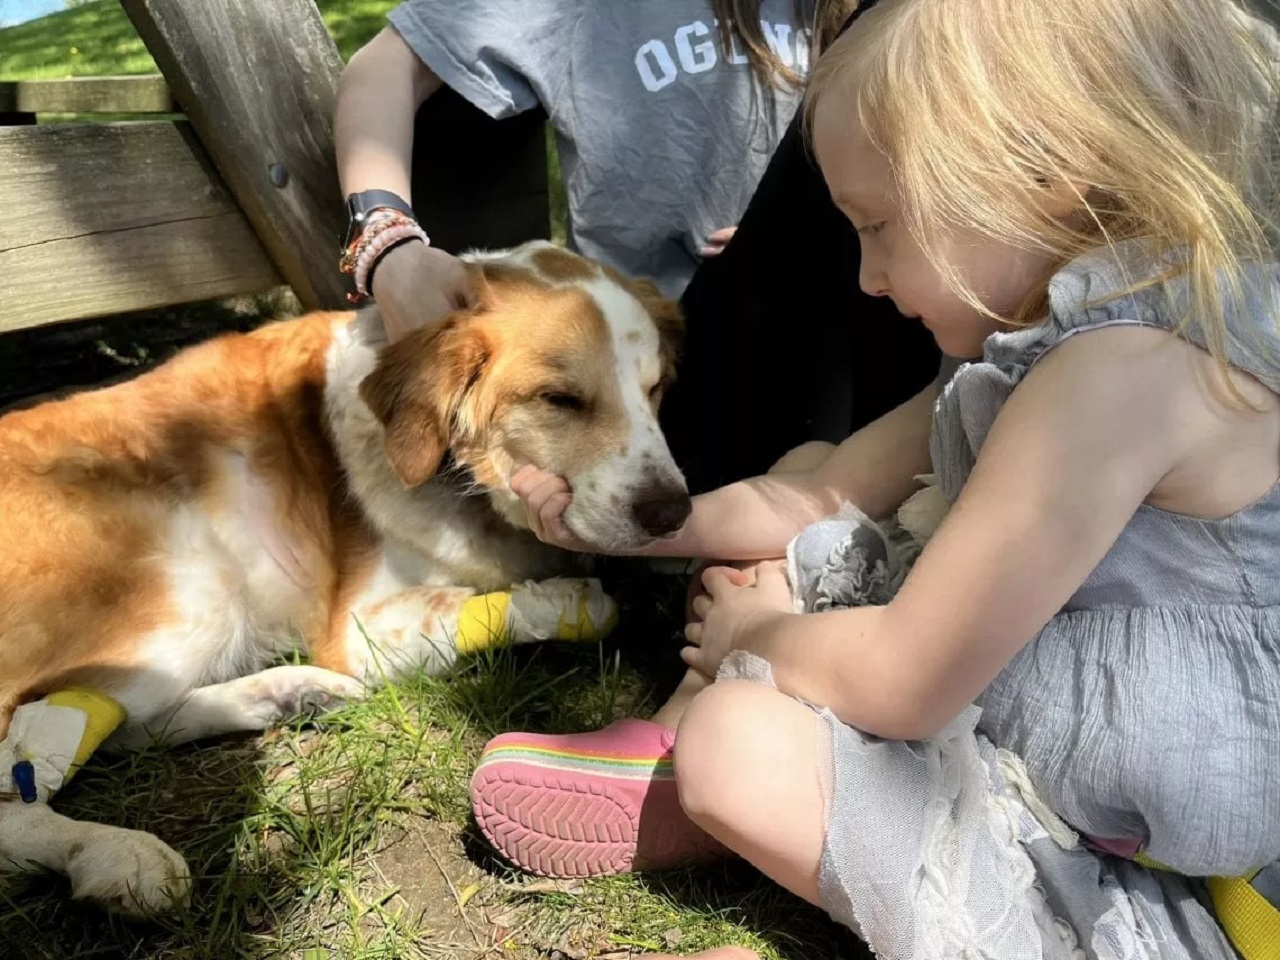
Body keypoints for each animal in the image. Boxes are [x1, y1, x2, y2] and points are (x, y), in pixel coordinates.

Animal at [0, 241, 691, 916]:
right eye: (561, 400)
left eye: (657, 389)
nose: (674, 513)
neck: (455, 470)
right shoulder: (357, 634)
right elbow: (492, 606)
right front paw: (565, 599)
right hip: (194, 579)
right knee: (30, 759)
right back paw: (112, 853)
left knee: (123, 724)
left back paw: (288, 693)